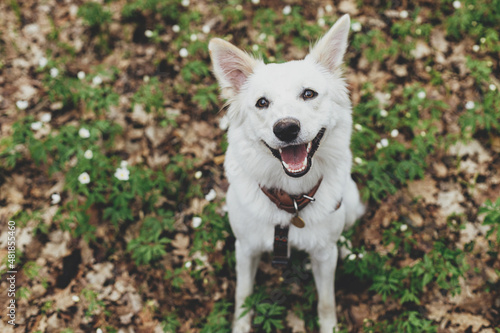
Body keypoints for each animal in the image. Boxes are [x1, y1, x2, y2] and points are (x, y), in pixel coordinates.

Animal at [209, 14, 366, 330]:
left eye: (308, 94)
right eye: (262, 102)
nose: (286, 128)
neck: (290, 200)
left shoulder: (324, 256)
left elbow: (326, 302)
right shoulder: (246, 249)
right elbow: (243, 296)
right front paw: (241, 326)